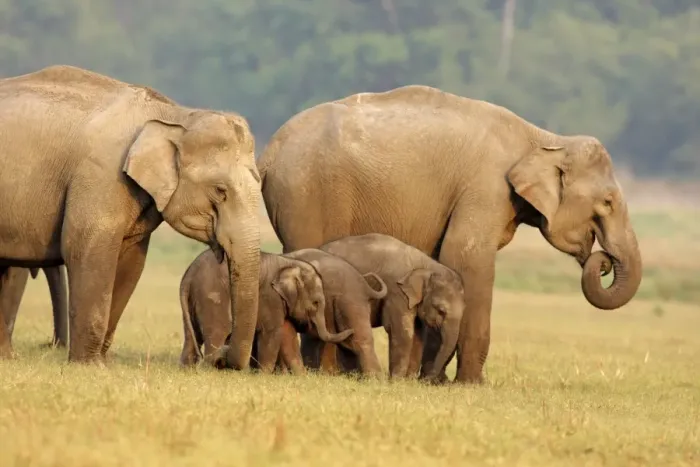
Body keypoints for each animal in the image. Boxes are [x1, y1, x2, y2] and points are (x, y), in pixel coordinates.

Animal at [0, 65, 261, 367]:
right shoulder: (101, 176)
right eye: (220, 190)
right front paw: (88, 366)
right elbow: (84, 248)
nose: (220, 357)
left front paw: (102, 362)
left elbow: (131, 261)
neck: (175, 115)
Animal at [179, 248, 353, 373]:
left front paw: (302, 377)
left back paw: (187, 371)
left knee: (191, 338)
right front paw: (264, 376)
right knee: (216, 336)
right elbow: (273, 333)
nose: (351, 331)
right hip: (213, 299)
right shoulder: (270, 297)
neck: (290, 263)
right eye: (316, 303)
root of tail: (189, 275)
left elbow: (287, 334)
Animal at [318, 233, 465, 380]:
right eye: (441, 310)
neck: (427, 265)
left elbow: (418, 335)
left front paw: (408, 381)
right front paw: (396, 380)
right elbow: (402, 332)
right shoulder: (396, 292)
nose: (427, 379)